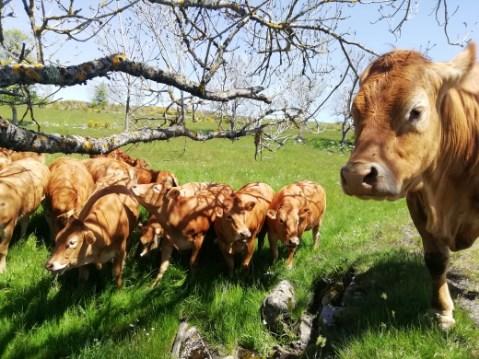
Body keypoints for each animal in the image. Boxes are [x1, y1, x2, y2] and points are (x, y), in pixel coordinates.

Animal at [342, 42, 479, 330]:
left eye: (415, 111)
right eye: (354, 113)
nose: (357, 176)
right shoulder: (417, 204)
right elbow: (436, 260)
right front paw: (441, 311)